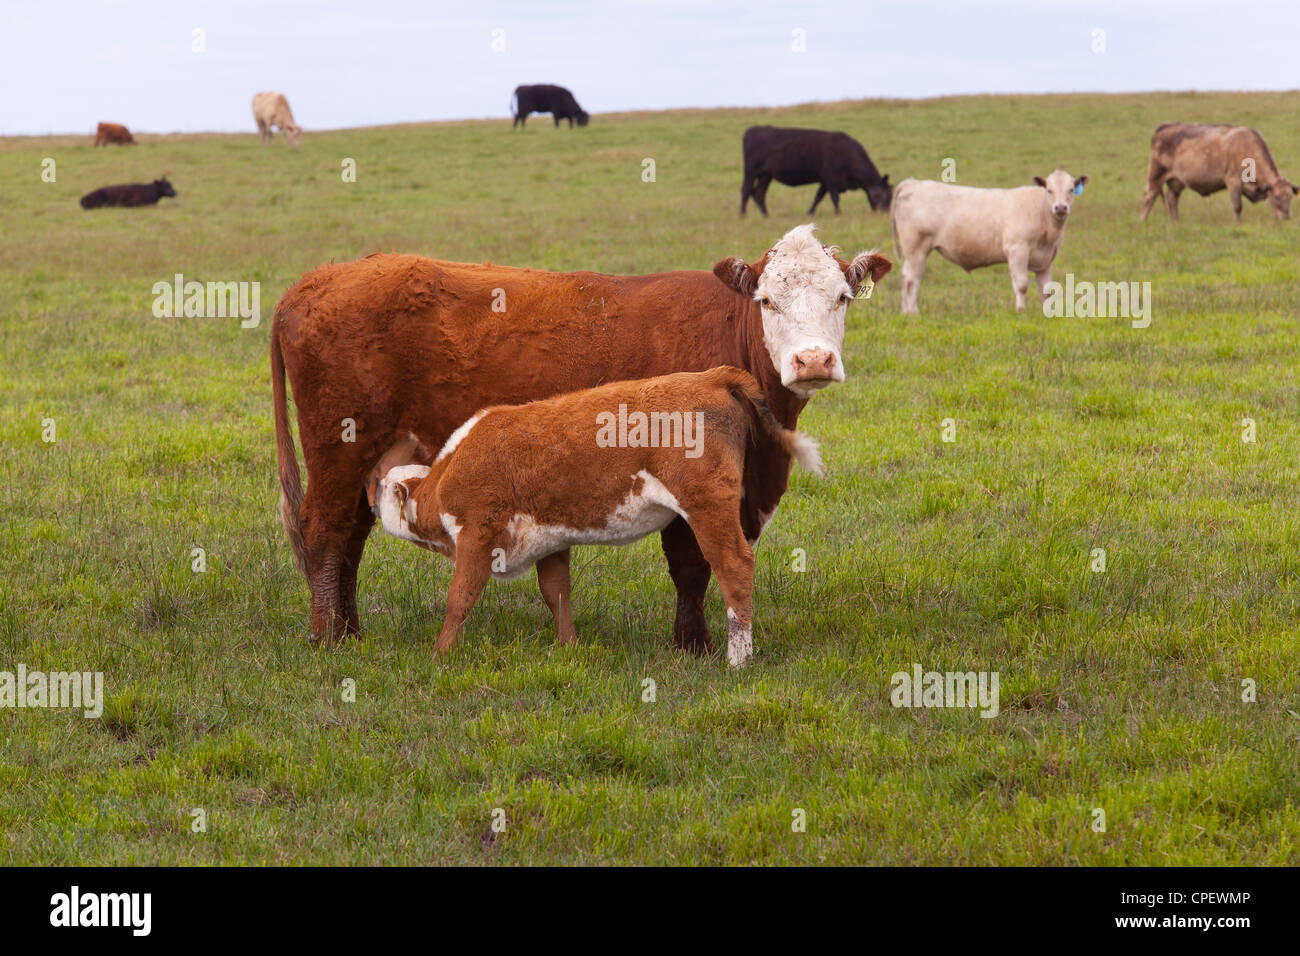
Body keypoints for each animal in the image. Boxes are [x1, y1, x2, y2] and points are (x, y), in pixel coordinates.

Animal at [366, 369, 816, 671]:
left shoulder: (478, 533)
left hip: (708, 505)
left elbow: (460, 597)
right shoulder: (550, 539)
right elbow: (557, 593)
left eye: (383, 486)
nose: (369, 499)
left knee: (734, 565)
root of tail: (713, 376)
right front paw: (569, 647)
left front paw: (439, 654)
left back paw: (738, 659)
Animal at [743, 126, 894, 215]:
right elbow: (834, 198)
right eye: (881, 196)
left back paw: (766, 215)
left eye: (890, 197)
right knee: (745, 190)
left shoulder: (825, 181)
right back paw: (742, 215)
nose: (884, 213)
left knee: (759, 193)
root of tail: (752, 129)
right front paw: (838, 213)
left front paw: (809, 213)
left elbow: (818, 197)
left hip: (766, 175)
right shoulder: (831, 179)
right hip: (751, 172)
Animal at [889, 171, 1092, 314]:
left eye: (1071, 190)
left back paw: (905, 311)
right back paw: (913, 312)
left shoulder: (1047, 257)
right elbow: (1021, 284)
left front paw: (1047, 313)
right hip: (916, 247)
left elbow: (1046, 289)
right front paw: (1021, 311)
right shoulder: (1018, 250)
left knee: (905, 276)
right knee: (912, 279)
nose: (1060, 207)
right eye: (1049, 190)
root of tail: (912, 183)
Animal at [1138, 121, 1289, 221]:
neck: (1245, 145)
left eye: (1290, 197)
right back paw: (1142, 221)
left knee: (1172, 199)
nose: (1286, 217)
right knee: (1149, 195)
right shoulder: (1233, 182)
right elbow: (1237, 207)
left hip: (1176, 181)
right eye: (1276, 197)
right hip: (1155, 175)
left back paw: (1176, 223)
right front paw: (1238, 224)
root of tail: (1165, 126)